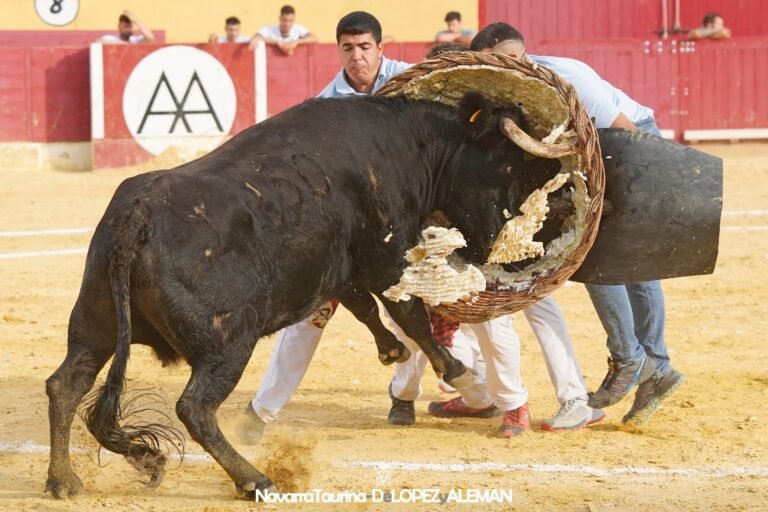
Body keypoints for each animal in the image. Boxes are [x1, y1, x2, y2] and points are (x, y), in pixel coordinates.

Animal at [45, 91, 567, 498]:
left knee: (65, 385)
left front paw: (392, 351)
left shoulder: (344, 265)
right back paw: (255, 480)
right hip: (226, 345)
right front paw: (459, 373)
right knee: (194, 408)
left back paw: (67, 479)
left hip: (95, 328)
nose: (512, 249)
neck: (411, 145)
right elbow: (409, 314)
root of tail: (137, 215)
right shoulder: (386, 255)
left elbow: (363, 306)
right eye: (506, 162)